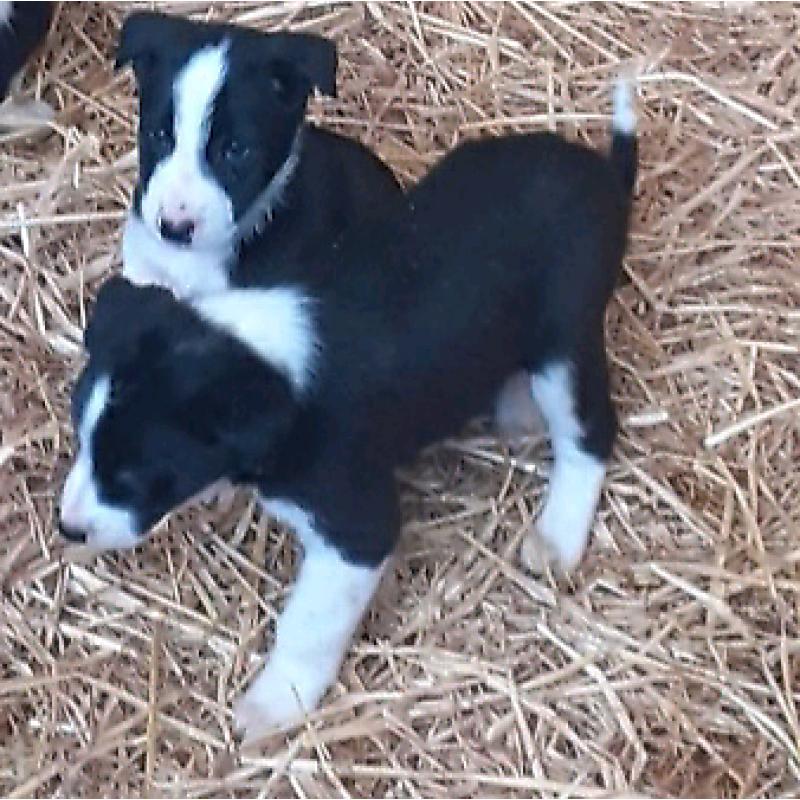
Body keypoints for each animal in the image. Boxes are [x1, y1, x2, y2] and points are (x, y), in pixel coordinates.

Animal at [61, 84, 636, 740]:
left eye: (136, 477)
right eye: (81, 439)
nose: (68, 529)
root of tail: (602, 173)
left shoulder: (356, 528)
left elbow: (309, 627)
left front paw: (272, 705)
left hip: (564, 345)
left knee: (590, 435)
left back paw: (556, 536)